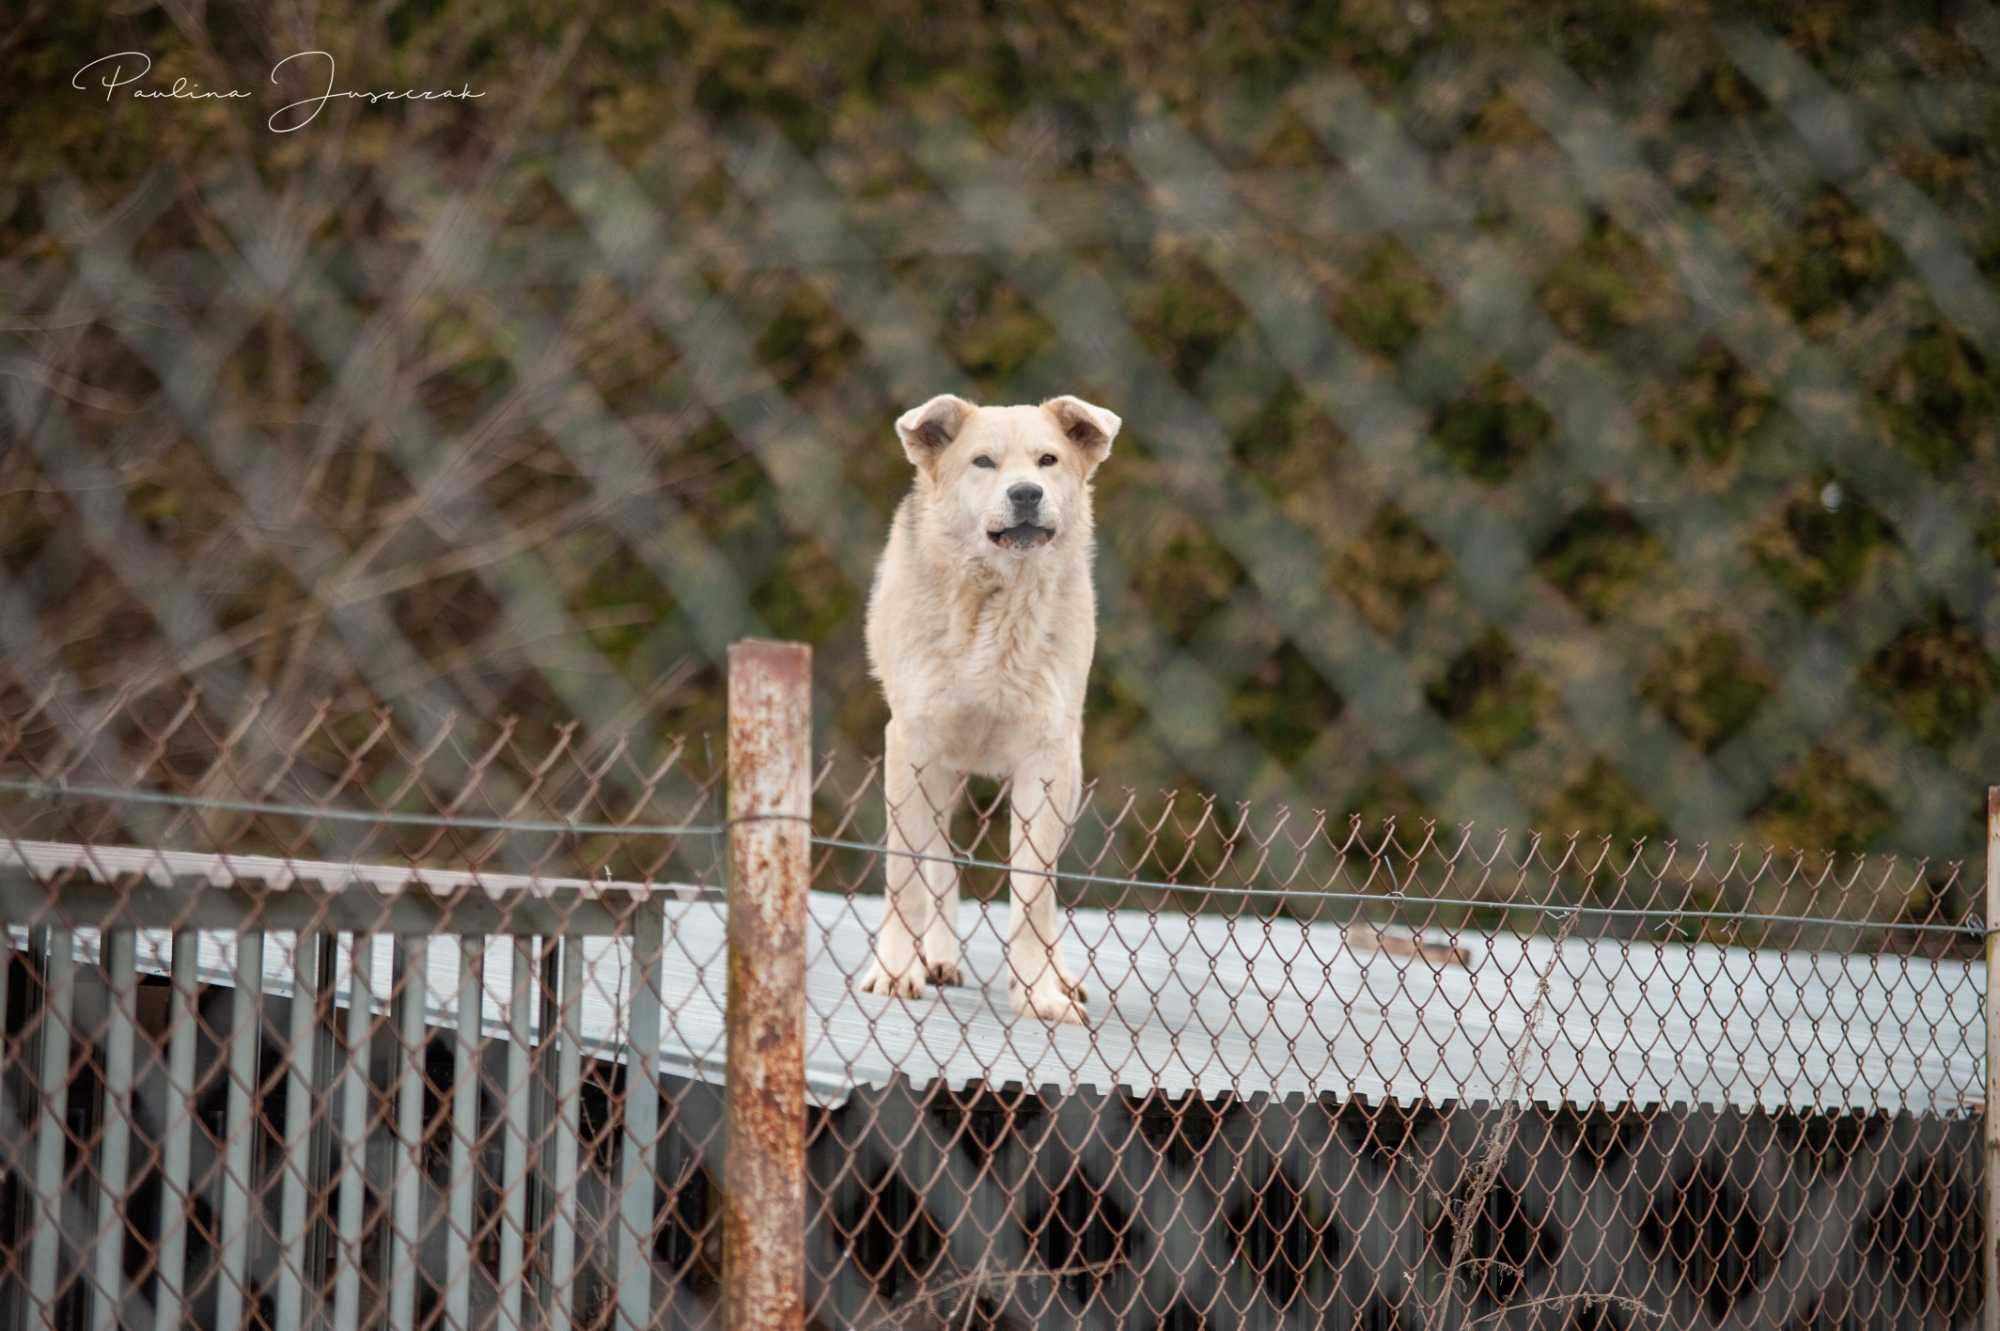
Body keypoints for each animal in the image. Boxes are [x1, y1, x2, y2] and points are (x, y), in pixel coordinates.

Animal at [852, 389, 1120, 1019]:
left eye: (1047, 460)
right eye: (983, 462)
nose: (1026, 494)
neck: (998, 604)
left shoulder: (1045, 762)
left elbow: (1033, 890)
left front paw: (1040, 993)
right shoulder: (912, 745)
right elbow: (906, 875)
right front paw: (894, 974)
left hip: (1069, 774)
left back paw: (1059, 975)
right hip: (940, 773)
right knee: (938, 862)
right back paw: (936, 959)